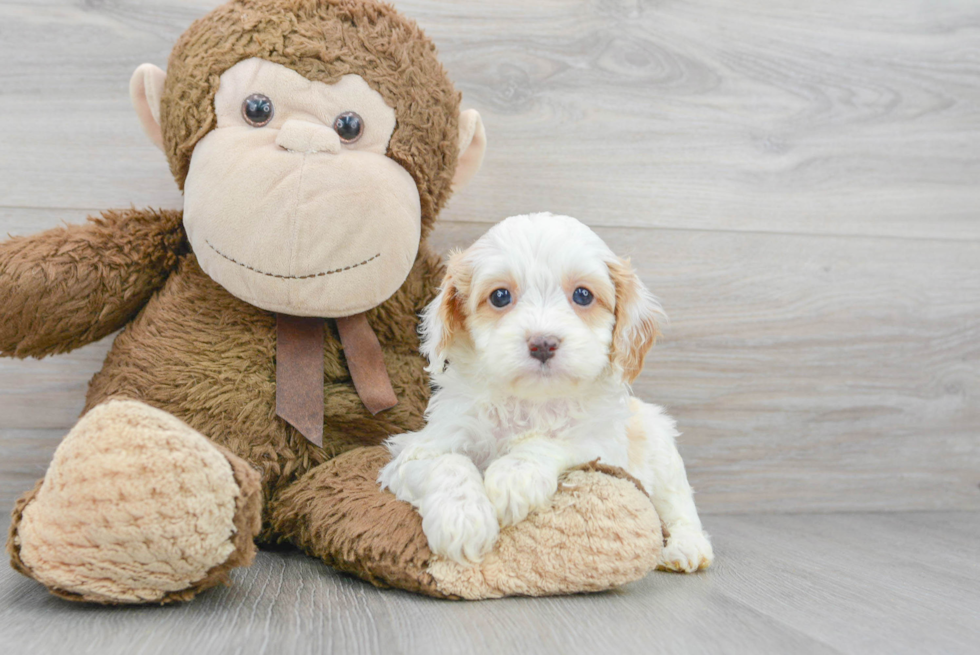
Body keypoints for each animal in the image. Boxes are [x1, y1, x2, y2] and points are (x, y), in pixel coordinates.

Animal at [380, 213, 712, 572]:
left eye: (583, 295)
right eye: (500, 296)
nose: (543, 343)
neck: (530, 403)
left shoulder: (603, 448)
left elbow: (554, 440)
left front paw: (514, 475)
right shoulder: (415, 451)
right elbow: (447, 463)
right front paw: (462, 520)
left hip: (660, 446)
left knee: (679, 504)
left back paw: (685, 546)